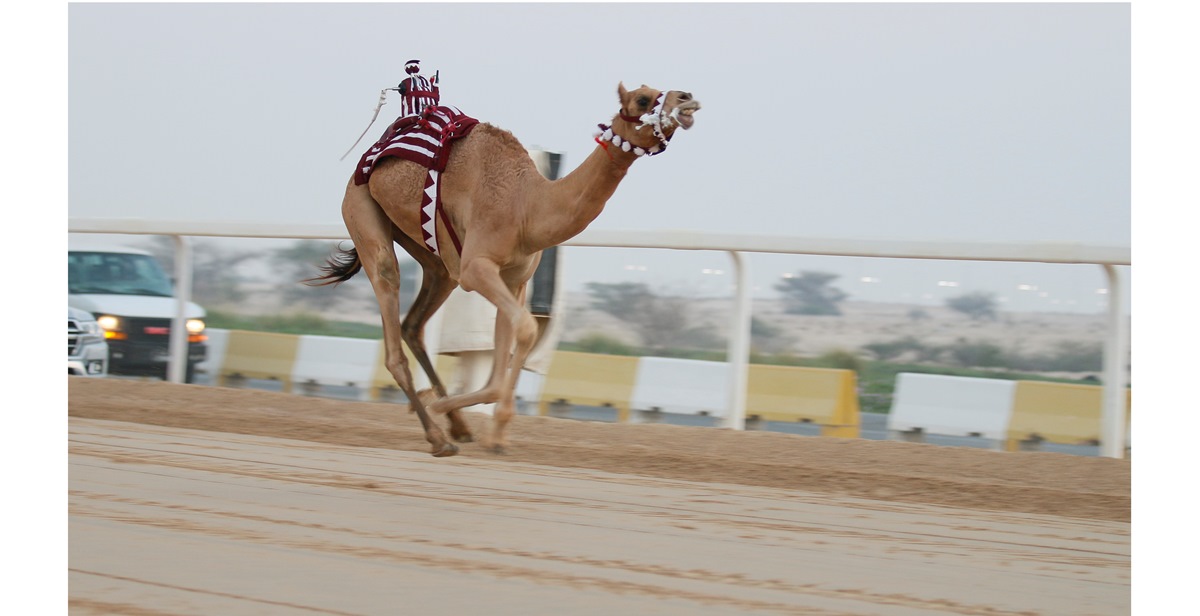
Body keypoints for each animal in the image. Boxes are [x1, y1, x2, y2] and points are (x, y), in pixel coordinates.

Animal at [309, 80, 700, 456]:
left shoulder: (514, 280)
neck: (527, 204)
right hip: (361, 208)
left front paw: (492, 435)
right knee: (390, 304)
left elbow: (511, 346)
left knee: (414, 323)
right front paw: (450, 412)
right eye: (643, 99)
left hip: (434, 258)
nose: (688, 98)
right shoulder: (477, 268)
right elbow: (525, 329)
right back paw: (437, 437)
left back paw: (457, 427)